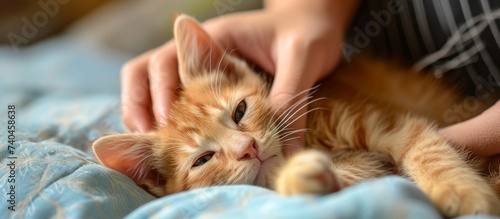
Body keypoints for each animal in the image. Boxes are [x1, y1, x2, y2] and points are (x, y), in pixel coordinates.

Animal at [93, 14, 500, 216]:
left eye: (240, 110)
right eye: (203, 160)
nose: (248, 148)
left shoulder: (391, 124)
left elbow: (423, 148)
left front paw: (461, 192)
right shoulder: (367, 162)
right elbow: (361, 175)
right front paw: (305, 177)